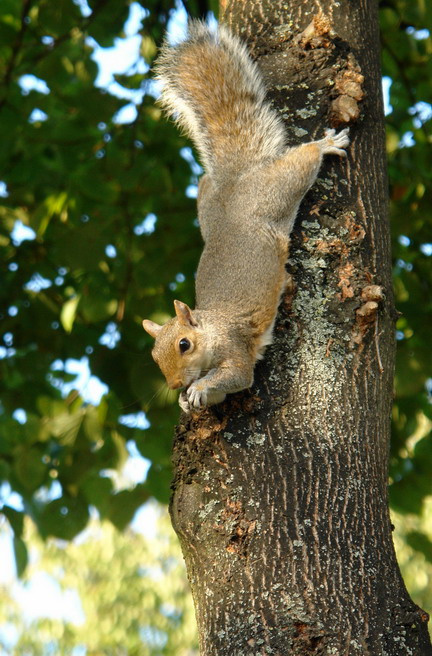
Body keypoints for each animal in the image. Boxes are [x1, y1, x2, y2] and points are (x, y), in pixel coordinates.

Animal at [143, 21, 349, 413]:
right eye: (154, 356)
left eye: (183, 344)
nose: (175, 384)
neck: (212, 328)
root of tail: (237, 179)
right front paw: (187, 400)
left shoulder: (236, 347)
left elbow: (238, 376)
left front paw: (197, 389)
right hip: (206, 203)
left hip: (276, 190)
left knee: (302, 163)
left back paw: (326, 145)